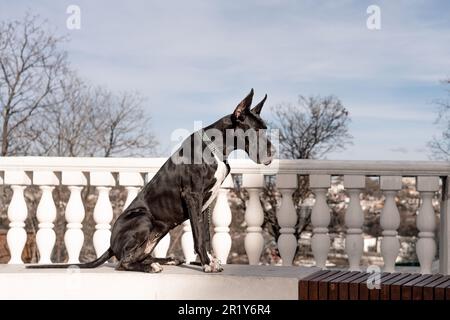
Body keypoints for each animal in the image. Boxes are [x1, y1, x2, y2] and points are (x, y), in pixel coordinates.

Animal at [29, 89, 274, 272]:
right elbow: (197, 235)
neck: (216, 147)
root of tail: (111, 245)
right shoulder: (193, 196)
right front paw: (206, 264)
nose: (273, 151)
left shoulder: (206, 203)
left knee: (137, 255)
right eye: (256, 132)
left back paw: (165, 260)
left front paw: (210, 260)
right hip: (143, 218)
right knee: (123, 262)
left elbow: (205, 234)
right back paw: (151, 267)